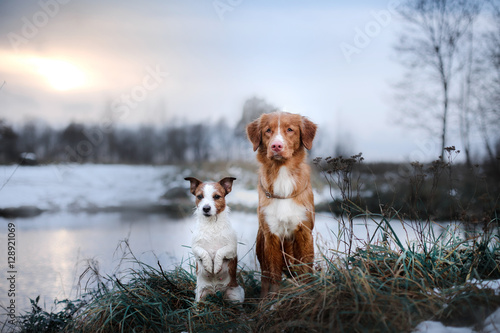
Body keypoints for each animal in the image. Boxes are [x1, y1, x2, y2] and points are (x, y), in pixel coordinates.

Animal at [246, 109, 316, 296]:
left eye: (290, 130)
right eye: (268, 131)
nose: (276, 146)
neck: (282, 173)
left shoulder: (304, 232)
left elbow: (305, 272)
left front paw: (306, 294)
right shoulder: (271, 236)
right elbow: (274, 276)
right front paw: (273, 300)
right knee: (265, 277)